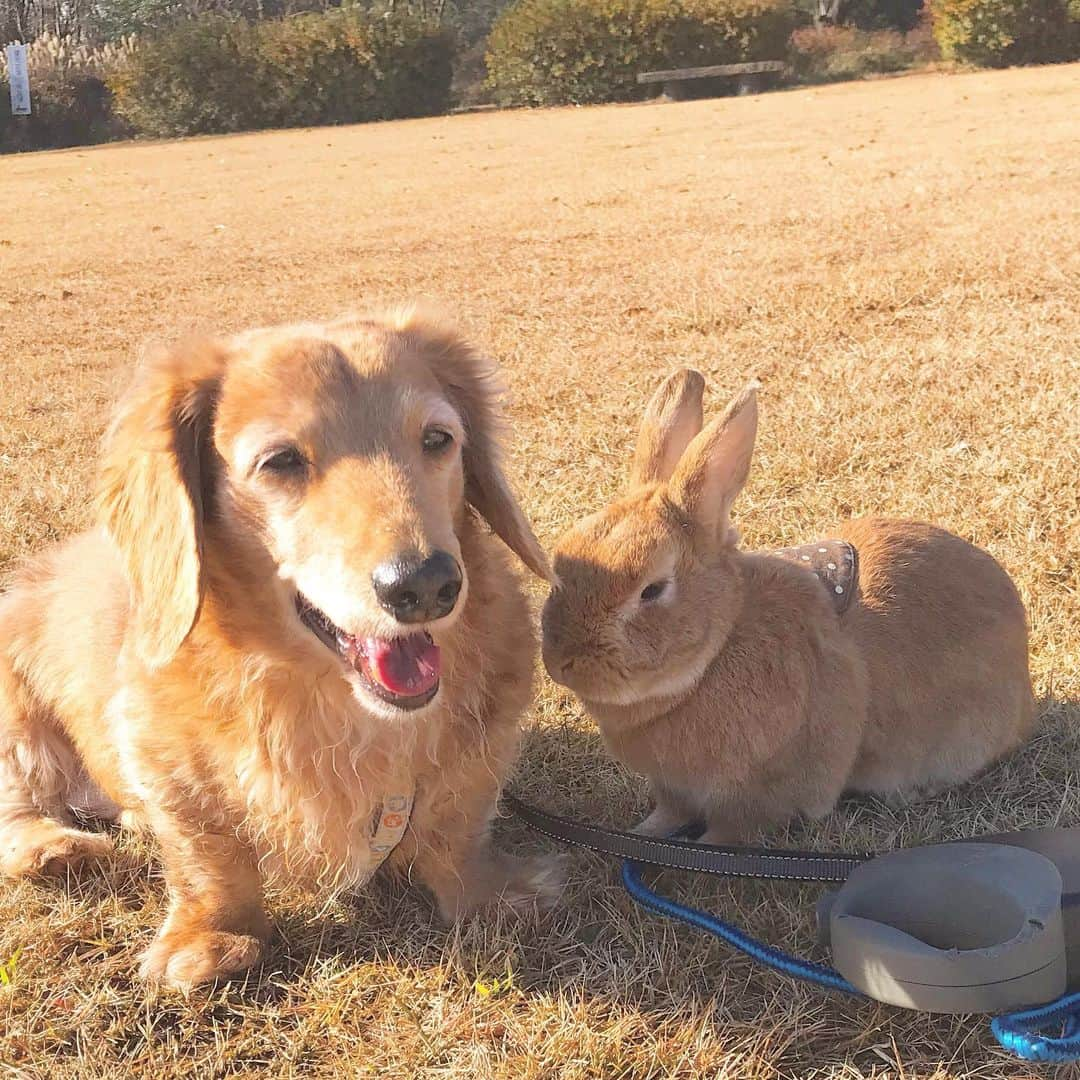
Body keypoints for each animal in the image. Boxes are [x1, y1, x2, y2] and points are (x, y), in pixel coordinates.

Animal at [0, 311, 557, 989]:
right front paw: (213, 937)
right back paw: (52, 847)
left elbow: (456, 830)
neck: (341, 707)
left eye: (437, 439)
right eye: (281, 460)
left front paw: (488, 894)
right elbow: (210, 859)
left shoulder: (478, 758)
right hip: (18, 725)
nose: (426, 586)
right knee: (19, 805)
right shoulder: (159, 754)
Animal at [540, 371, 1036, 842]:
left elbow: (726, 836)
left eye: (651, 590)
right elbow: (665, 819)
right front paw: (639, 834)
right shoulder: (675, 790)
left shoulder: (758, 797)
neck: (715, 653)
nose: (560, 663)